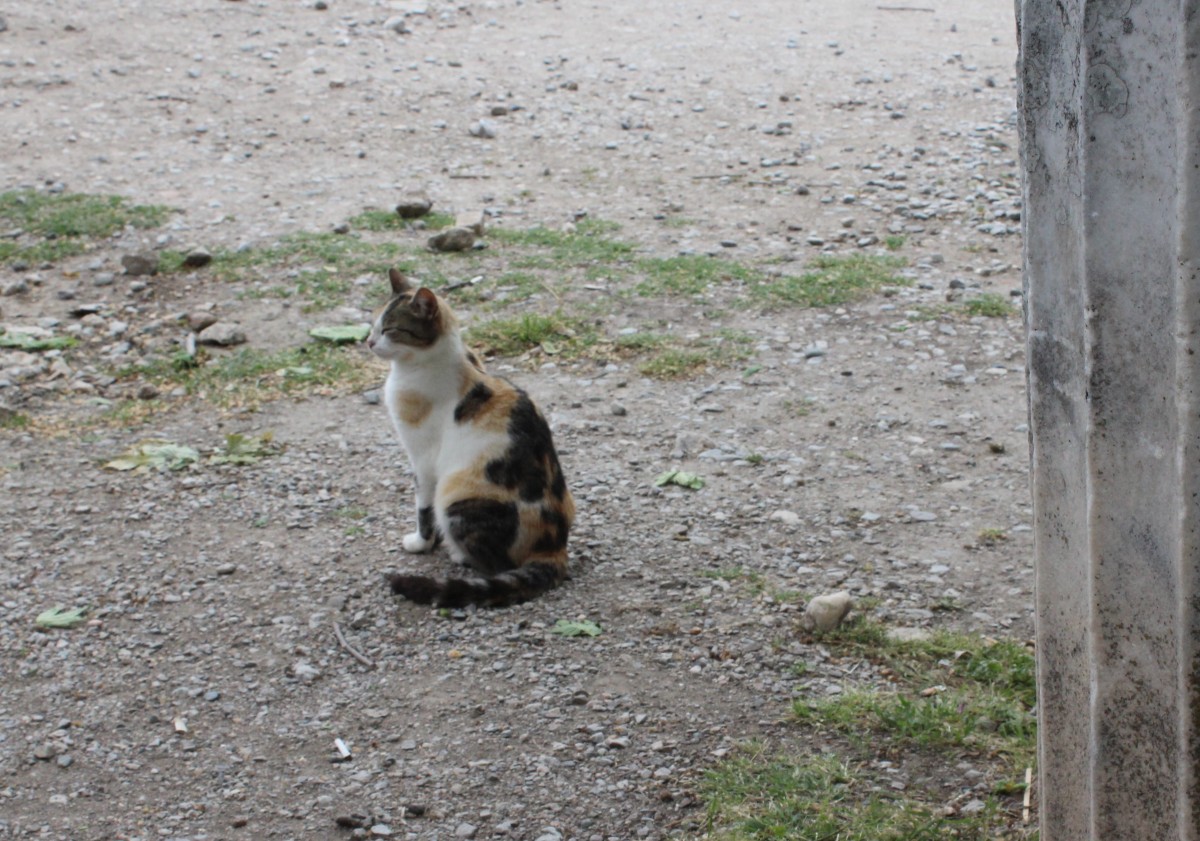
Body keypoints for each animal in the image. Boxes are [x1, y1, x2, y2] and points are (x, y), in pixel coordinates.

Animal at [364, 268, 576, 604]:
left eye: (390, 329)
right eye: (372, 323)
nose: (369, 342)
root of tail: (554, 548)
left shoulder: (424, 461)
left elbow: (423, 509)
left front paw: (420, 544)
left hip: (457, 498)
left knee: (497, 566)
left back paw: (460, 555)